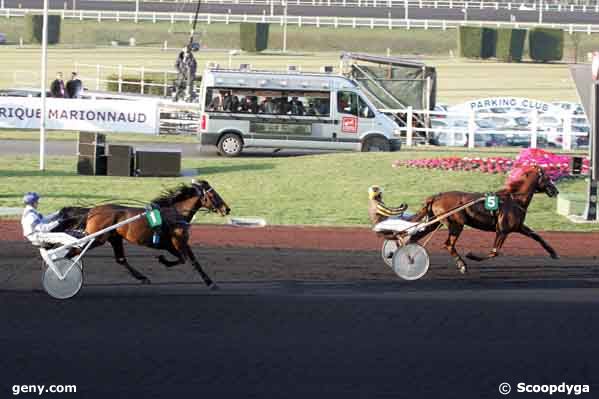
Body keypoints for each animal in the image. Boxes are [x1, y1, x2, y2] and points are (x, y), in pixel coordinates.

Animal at [410, 166, 560, 276]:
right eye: (548, 178)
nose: (556, 191)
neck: (515, 200)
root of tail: (436, 197)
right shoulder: (502, 230)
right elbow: (494, 252)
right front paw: (471, 256)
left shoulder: (518, 227)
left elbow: (537, 236)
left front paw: (553, 253)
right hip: (456, 224)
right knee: (448, 245)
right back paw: (462, 265)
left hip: (435, 222)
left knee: (414, 238)